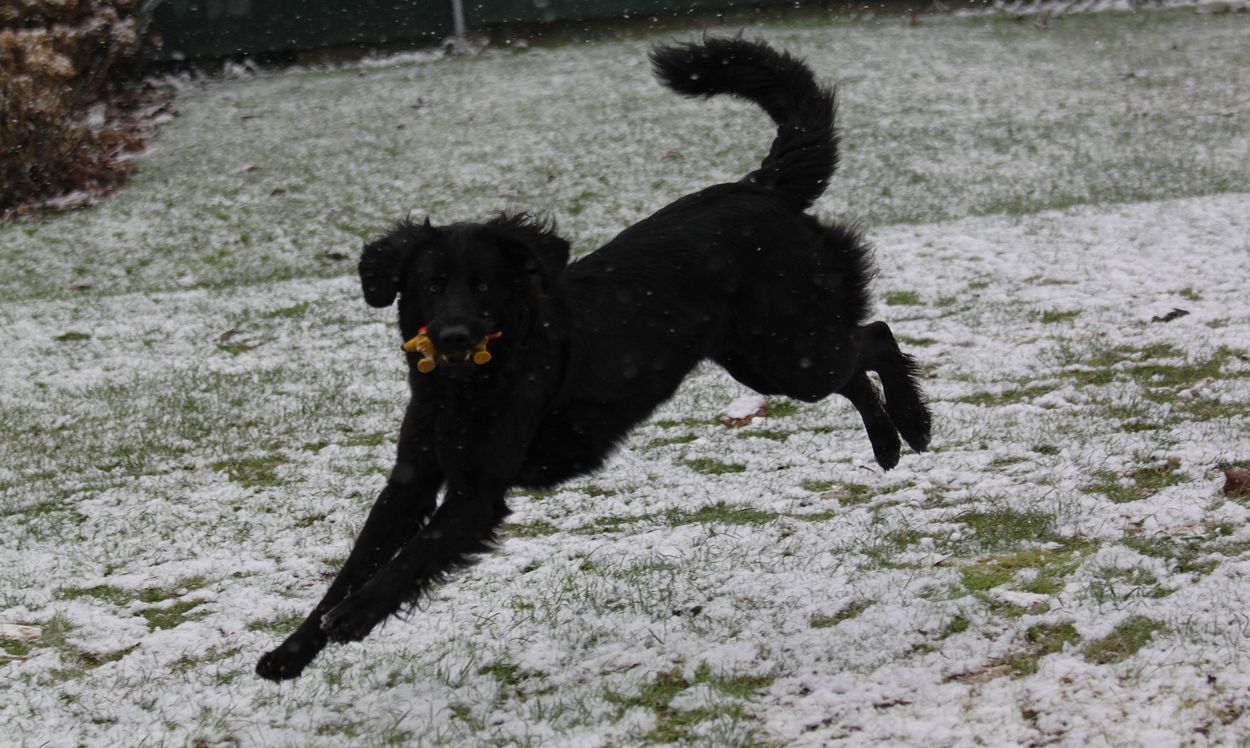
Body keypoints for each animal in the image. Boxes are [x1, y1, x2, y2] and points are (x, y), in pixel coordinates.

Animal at [256, 37, 931, 681]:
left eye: (484, 286)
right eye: (430, 285)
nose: (451, 337)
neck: (468, 385)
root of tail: (760, 187)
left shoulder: (477, 493)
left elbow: (408, 560)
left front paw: (356, 615)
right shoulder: (411, 479)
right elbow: (352, 565)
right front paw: (291, 653)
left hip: (790, 353)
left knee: (874, 336)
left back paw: (914, 425)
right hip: (763, 359)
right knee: (858, 366)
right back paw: (887, 445)